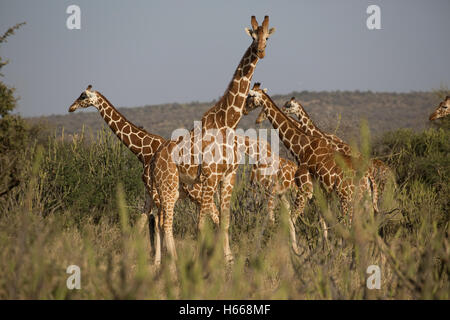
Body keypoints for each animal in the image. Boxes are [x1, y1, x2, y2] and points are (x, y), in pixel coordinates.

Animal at [149, 15, 274, 264]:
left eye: (267, 37)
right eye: (253, 36)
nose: (261, 51)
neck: (227, 122)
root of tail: (154, 159)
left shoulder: (228, 176)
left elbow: (224, 222)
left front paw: (228, 262)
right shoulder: (209, 176)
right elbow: (201, 225)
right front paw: (199, 263)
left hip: (173, 188)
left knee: (162, 221)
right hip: (167, 185)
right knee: (165, 223)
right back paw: (173, 266)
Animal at [244, 82, 378, 250]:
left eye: (250, 96)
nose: (245, 110)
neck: (302, 148)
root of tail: (369, 175)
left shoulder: (304, 189)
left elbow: (291, 220)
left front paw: (294, 250)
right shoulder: (321, 193)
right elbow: (322, 220)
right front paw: (324, 248)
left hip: (347, 197)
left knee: (350, 224)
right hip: (364, 199)